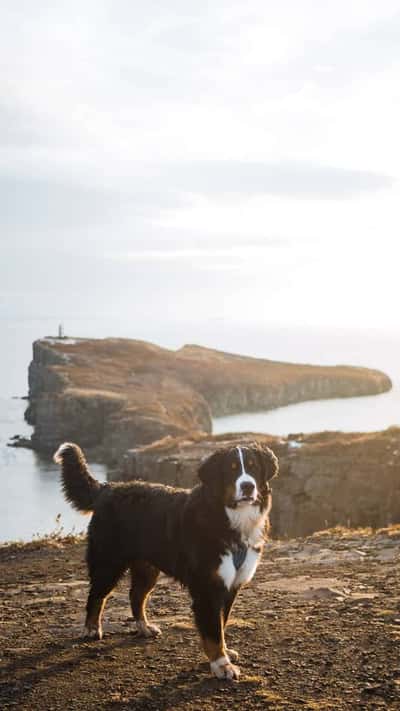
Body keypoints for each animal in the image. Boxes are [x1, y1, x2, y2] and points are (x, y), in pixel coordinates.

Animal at [54, 440, 278, 680]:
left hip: (147, 568)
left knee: (136, 596)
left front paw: (225, 652)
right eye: (232, 469)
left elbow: (221, 624)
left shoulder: (230, 586)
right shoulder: (207, 588)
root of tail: (109, 488)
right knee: (96, 596)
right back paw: (91, 628)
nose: (247, 486)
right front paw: (221, 664)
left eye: (254, 467)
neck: (230, 518)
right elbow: (213, 632)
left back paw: (144, 627)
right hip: (108, 562)